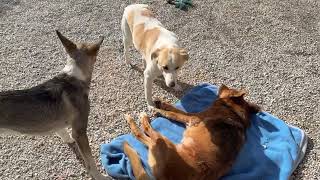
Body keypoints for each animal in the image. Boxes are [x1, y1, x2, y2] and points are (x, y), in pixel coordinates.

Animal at [122, 84, 260, 180]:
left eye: (229, 89)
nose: (221, 84)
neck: (234, 112)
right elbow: (175, 108)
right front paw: (162, 103)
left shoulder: (193, 118)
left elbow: (174, 113)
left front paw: (160, 110)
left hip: (162, 142)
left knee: (142, 133)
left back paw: (139, 119)